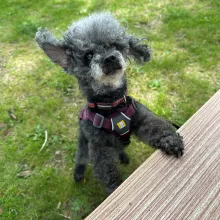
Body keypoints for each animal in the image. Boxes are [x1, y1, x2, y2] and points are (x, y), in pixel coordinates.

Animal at [36, 11, 184, 194]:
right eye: (89, 55)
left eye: (115, 46)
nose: (110, 58)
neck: (112, 106)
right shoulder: (99, 145)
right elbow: (107, 171)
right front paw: (115, 188)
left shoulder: (141, 117)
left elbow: (157, 126)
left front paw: (170, 141)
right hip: (83, 144)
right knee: (81, 158)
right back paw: (78, 174)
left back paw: (124, 157)